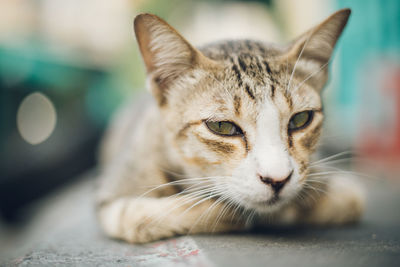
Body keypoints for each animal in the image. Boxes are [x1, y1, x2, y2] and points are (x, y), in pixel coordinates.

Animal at [96, 8, 362, 244]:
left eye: (300, 119)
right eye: (222, 126)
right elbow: (134, 217)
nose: (277, 179)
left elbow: (349, 199)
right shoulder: (115, 195)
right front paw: (232, 214)